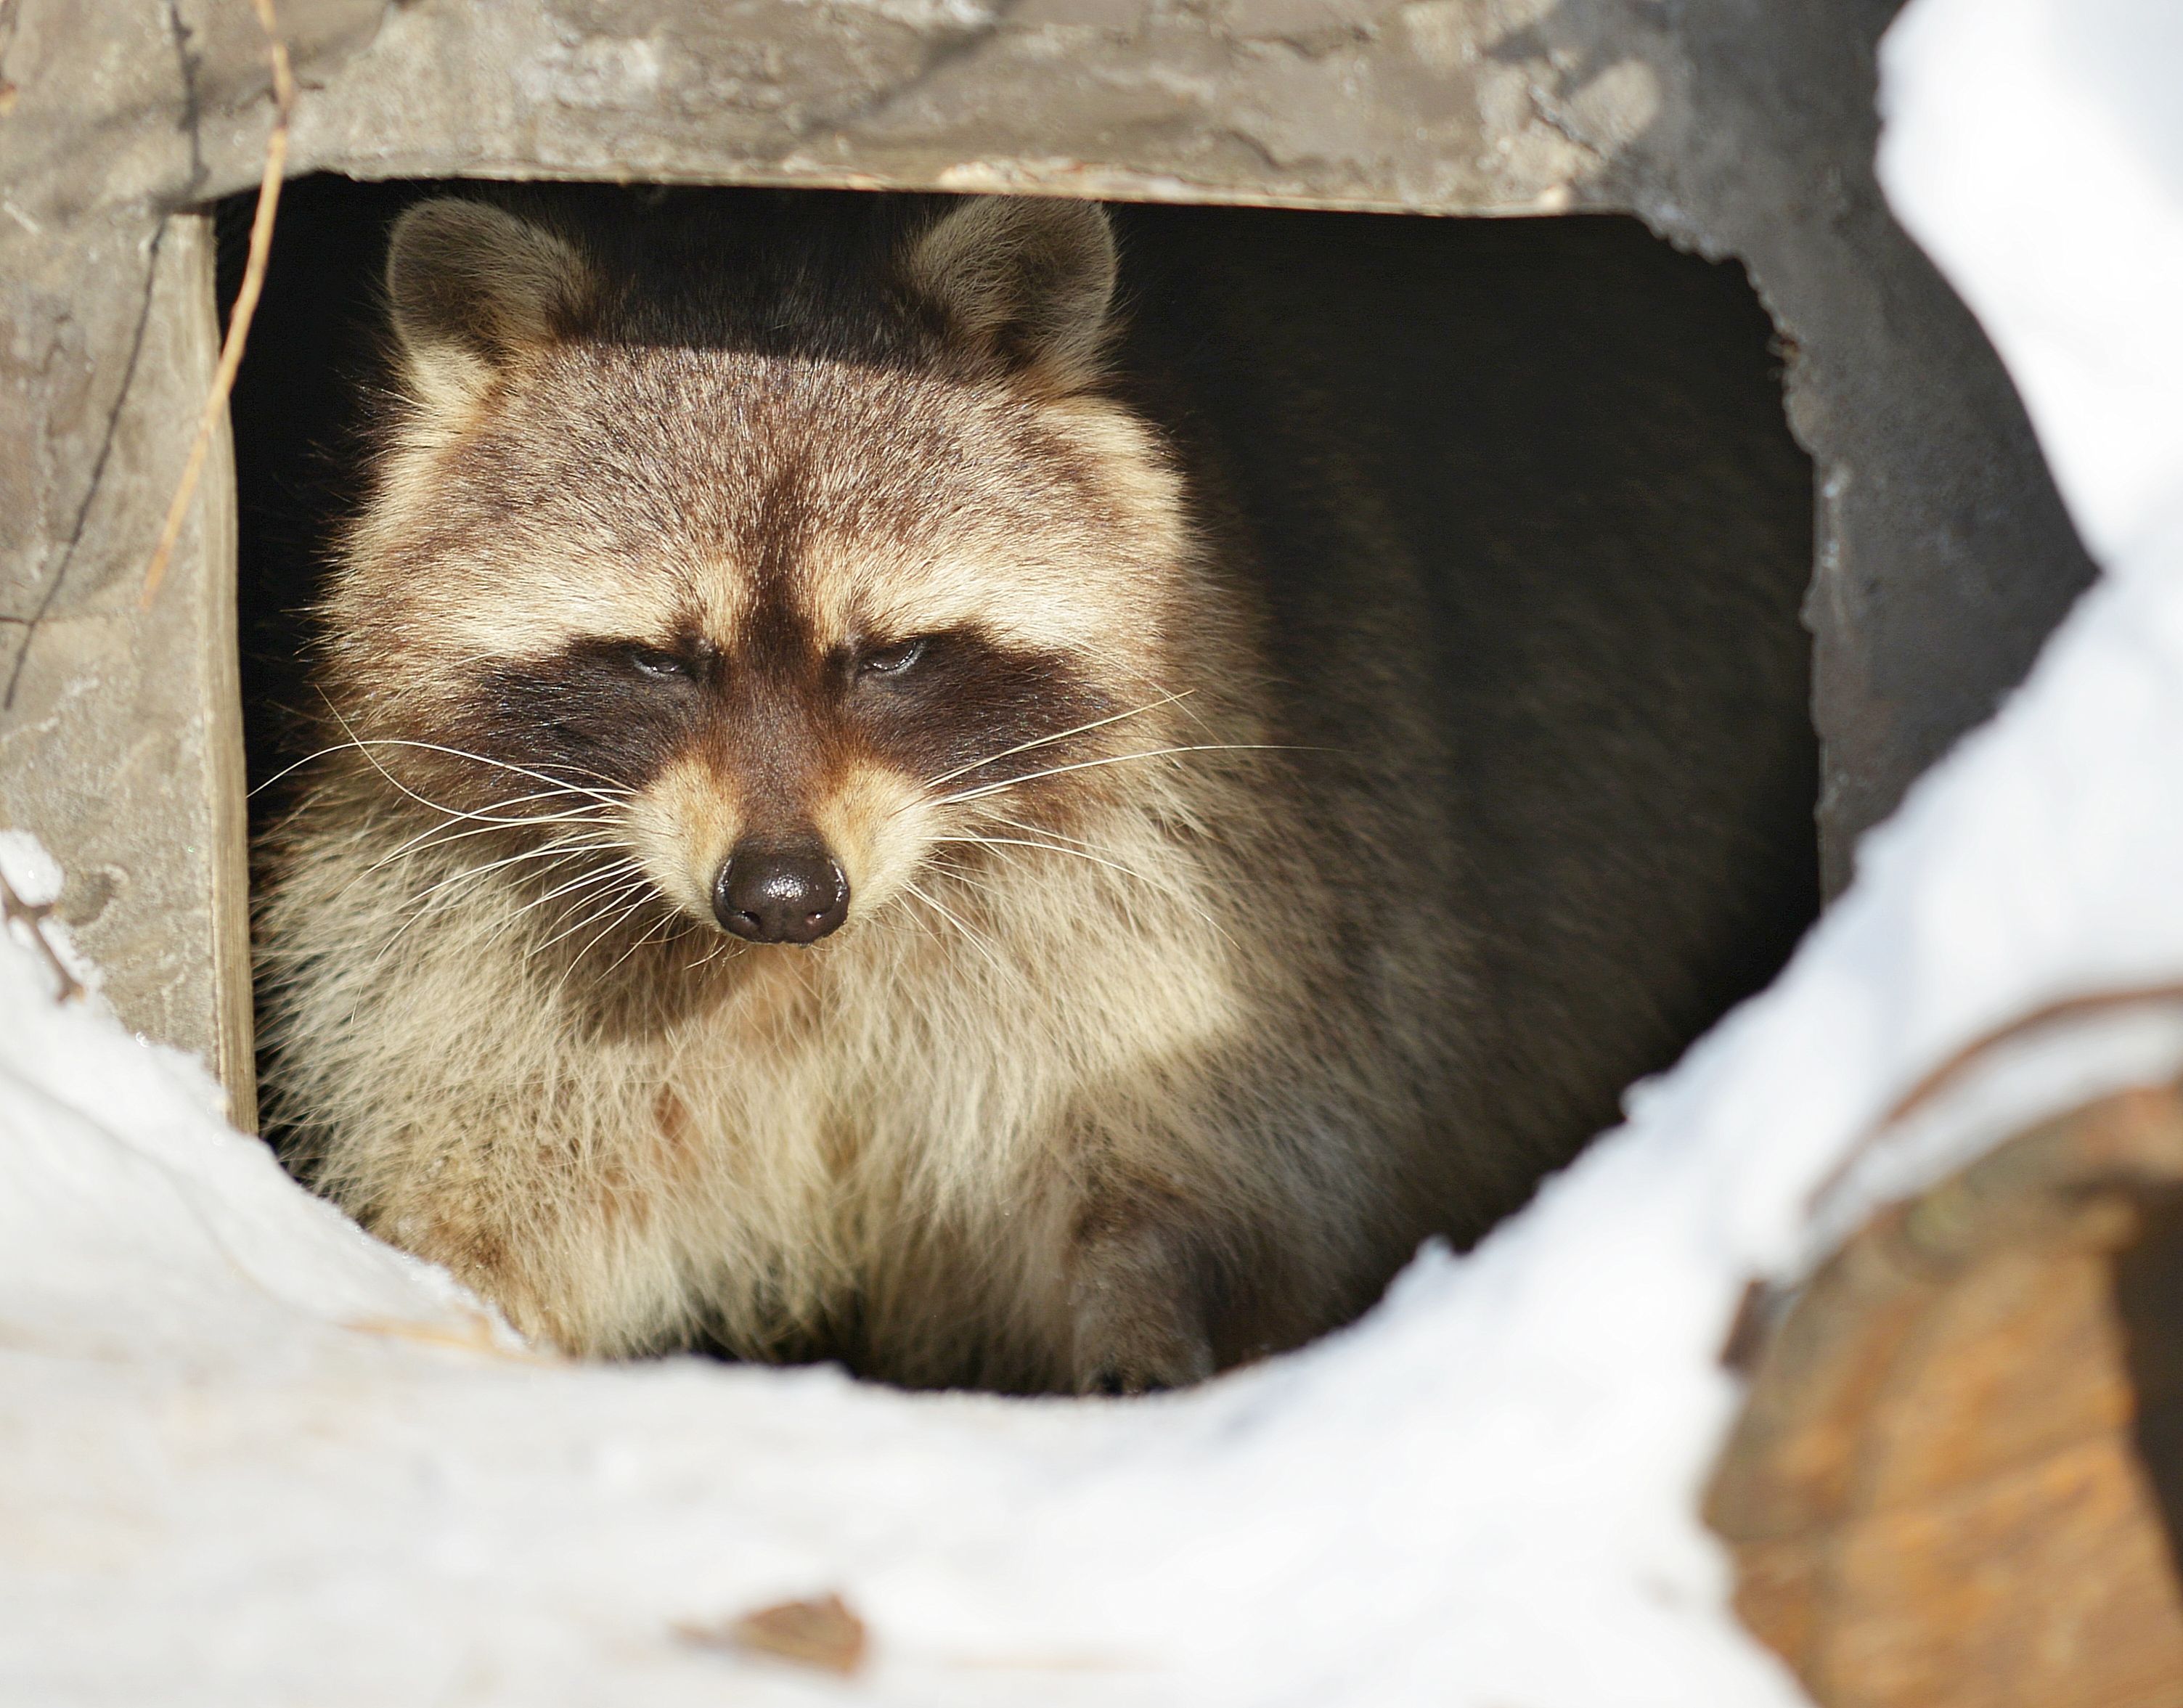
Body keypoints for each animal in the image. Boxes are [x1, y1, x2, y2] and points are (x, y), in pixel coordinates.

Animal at [255, 190, 1816, 1387]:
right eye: (655, 661)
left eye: (892, 656)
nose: (781, 892)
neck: (809, 969)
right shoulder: (469, 932)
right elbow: (502, 1177)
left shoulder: (1238, 887)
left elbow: (1177, 1165)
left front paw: (1152, 1300)